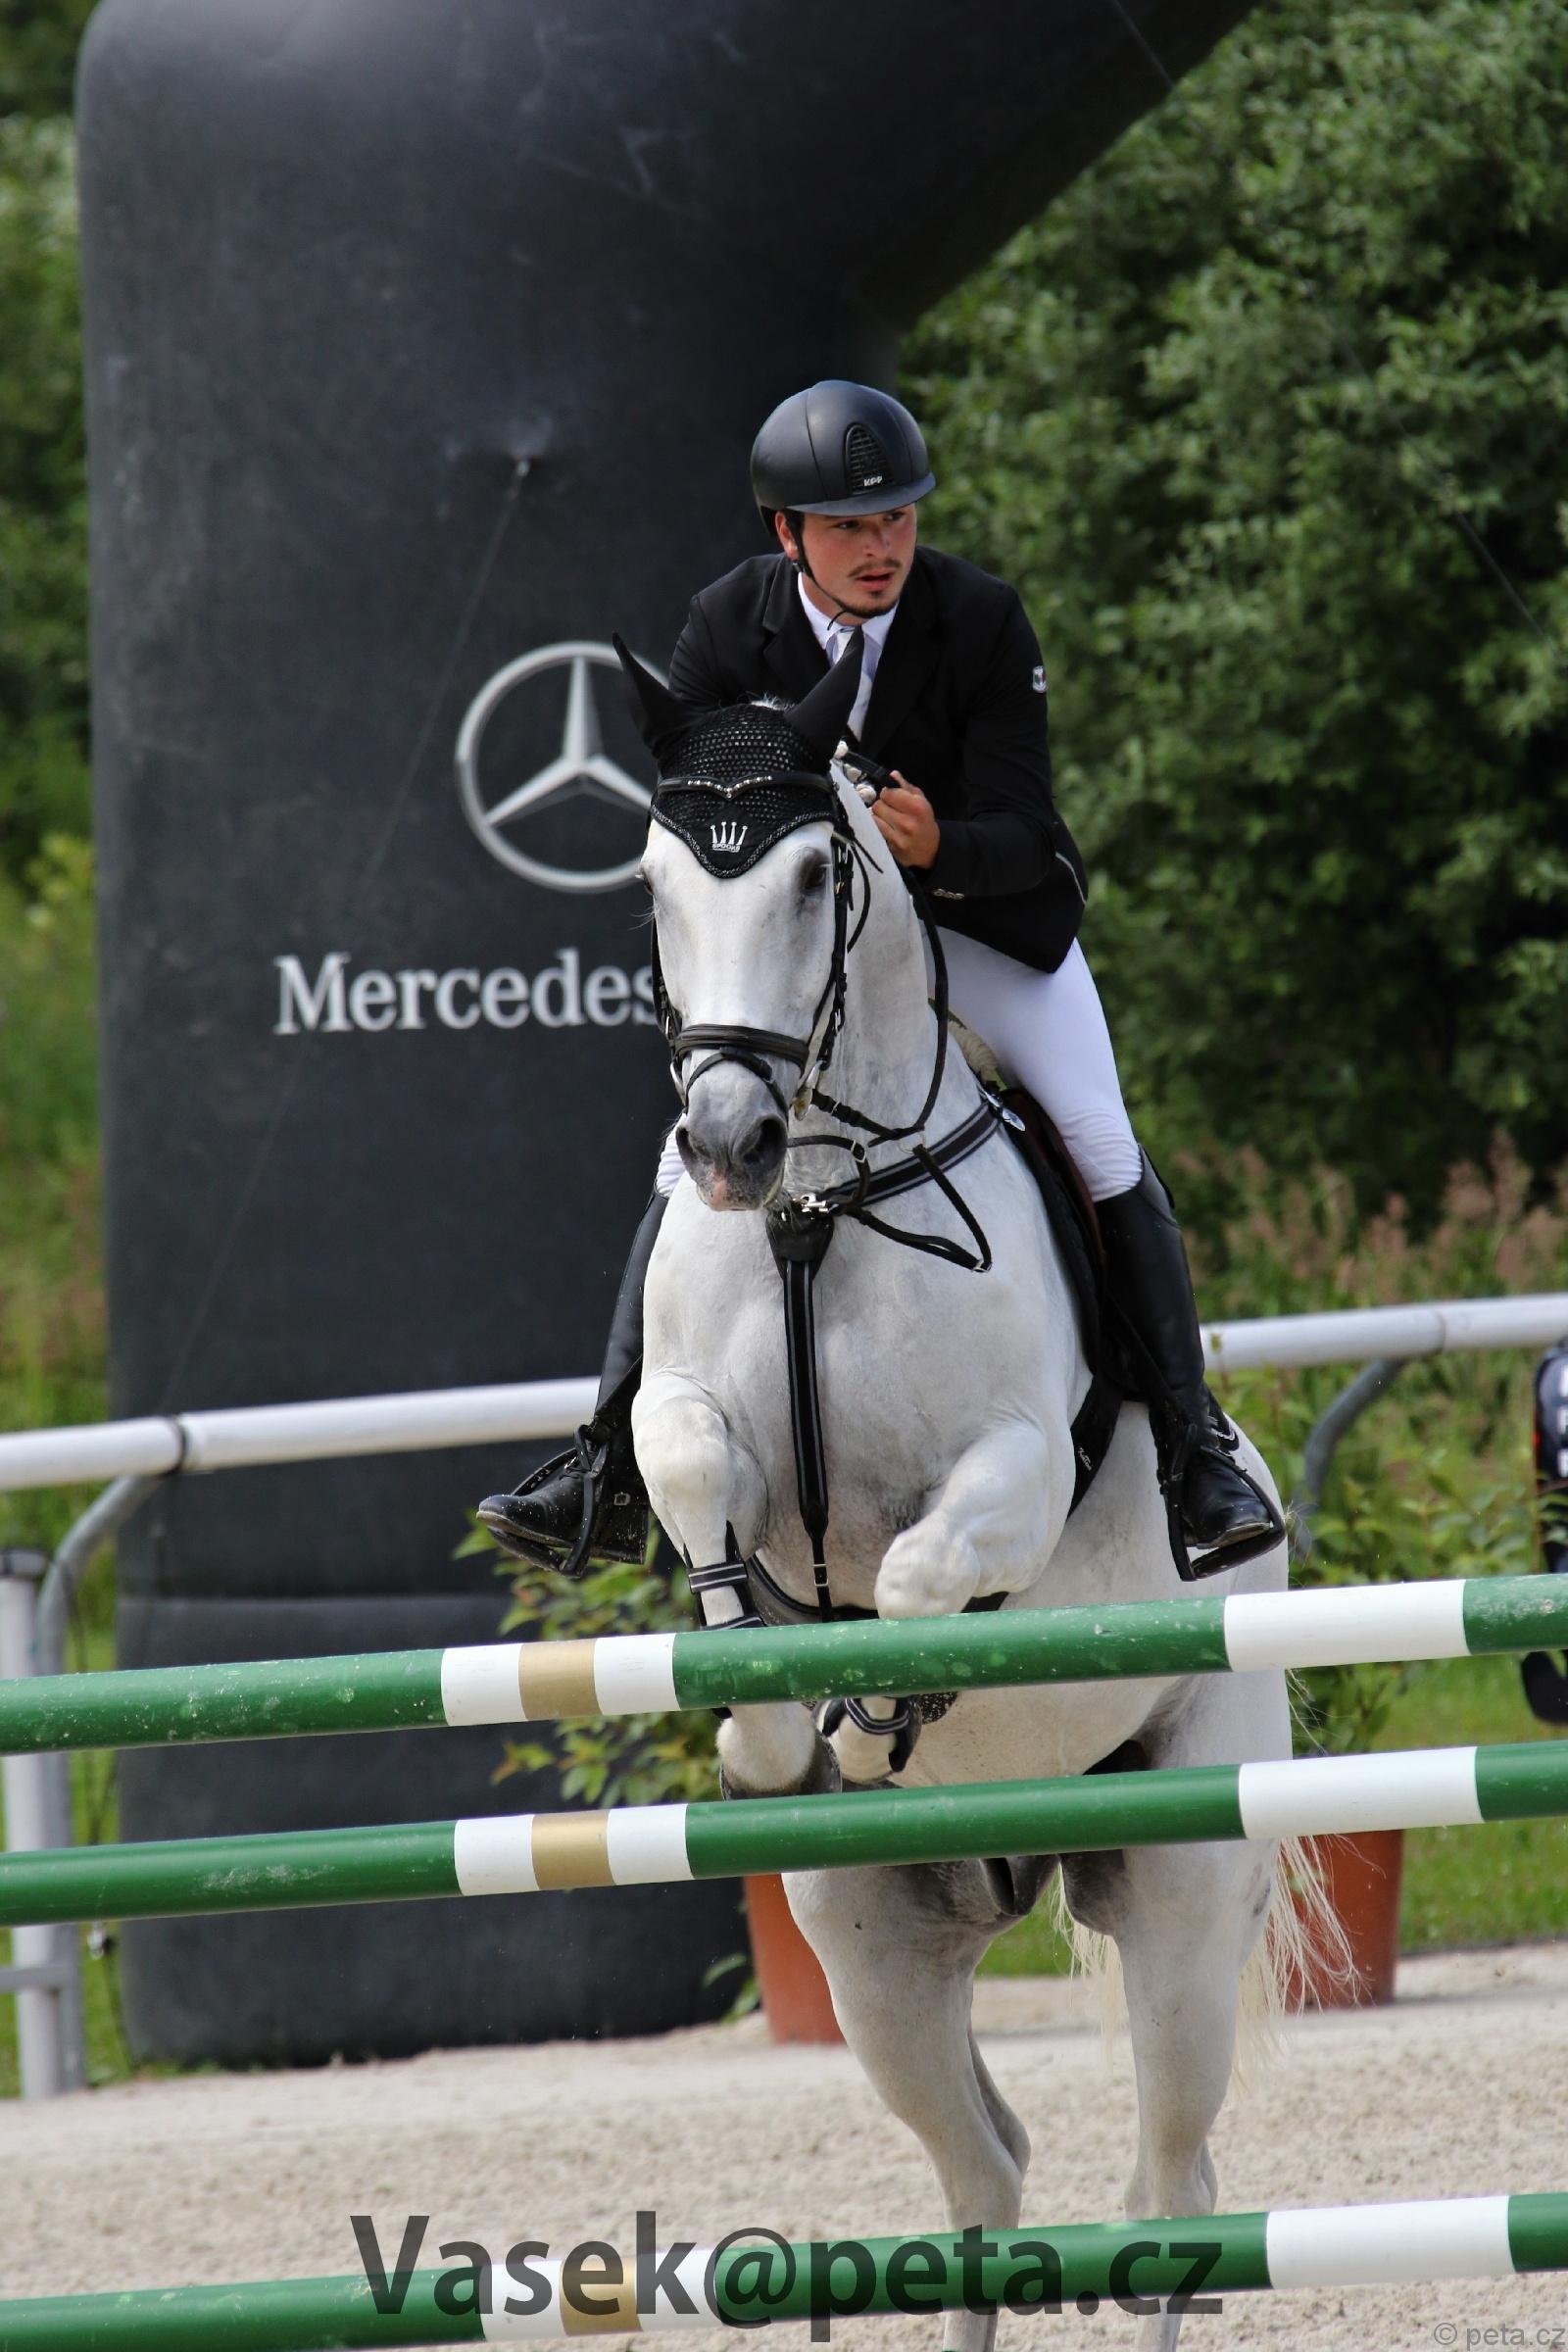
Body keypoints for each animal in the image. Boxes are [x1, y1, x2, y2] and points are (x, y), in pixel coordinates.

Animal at [619, 640, 1294, 2352]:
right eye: (654, 877)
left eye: (815, 874)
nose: (725, 1141)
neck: (819, 1206)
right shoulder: (686, 1416)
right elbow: (696, 1471)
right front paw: (768, 1735)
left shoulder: (1015, 1473)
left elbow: (924, 1581)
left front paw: (867, 1721)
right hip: (876, 1949)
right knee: (984, 2175)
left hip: (1185, 1875)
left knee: (1171, 2185)